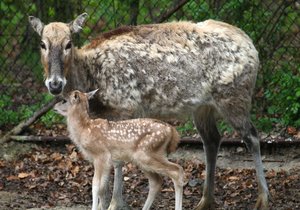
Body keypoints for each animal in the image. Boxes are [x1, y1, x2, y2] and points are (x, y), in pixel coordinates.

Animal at [29, 12, 270, 209]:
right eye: (42, 44)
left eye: (69, 43)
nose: (55, 84)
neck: (92, 78)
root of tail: (253, 48)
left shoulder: (125, 107)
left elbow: (118, 162)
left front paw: (116, 204)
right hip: (203, 107)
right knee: (212, 140)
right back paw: (205, 201)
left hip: (234, 97)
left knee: (252, 137)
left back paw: (263, 198)